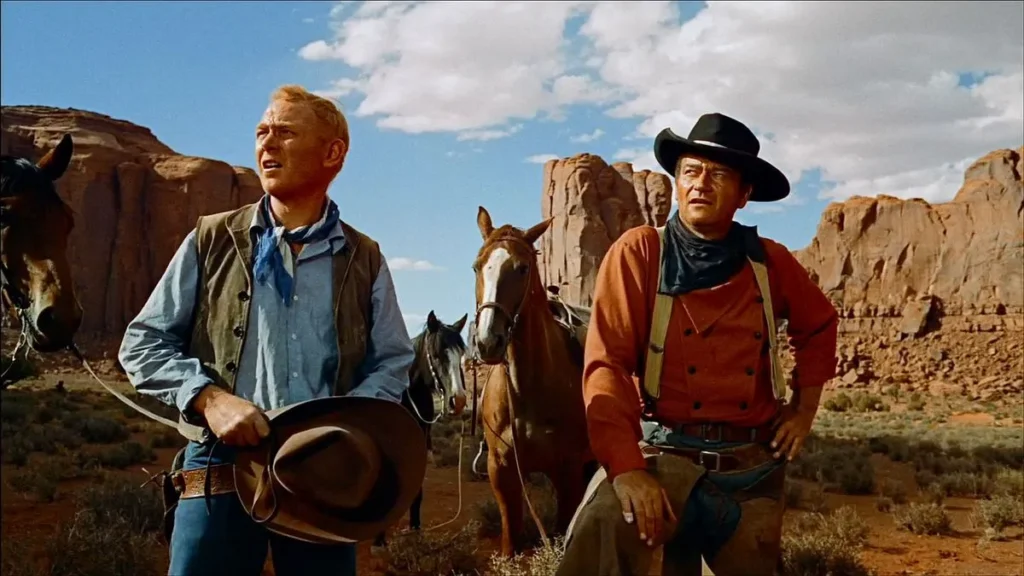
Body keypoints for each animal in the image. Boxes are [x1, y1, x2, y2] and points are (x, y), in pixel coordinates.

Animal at [471, 203, 593, 553]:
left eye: (522, 268)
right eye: (477, 266)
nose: (488, 341)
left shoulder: (568, 470)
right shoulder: (501, 470)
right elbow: (510, 540)